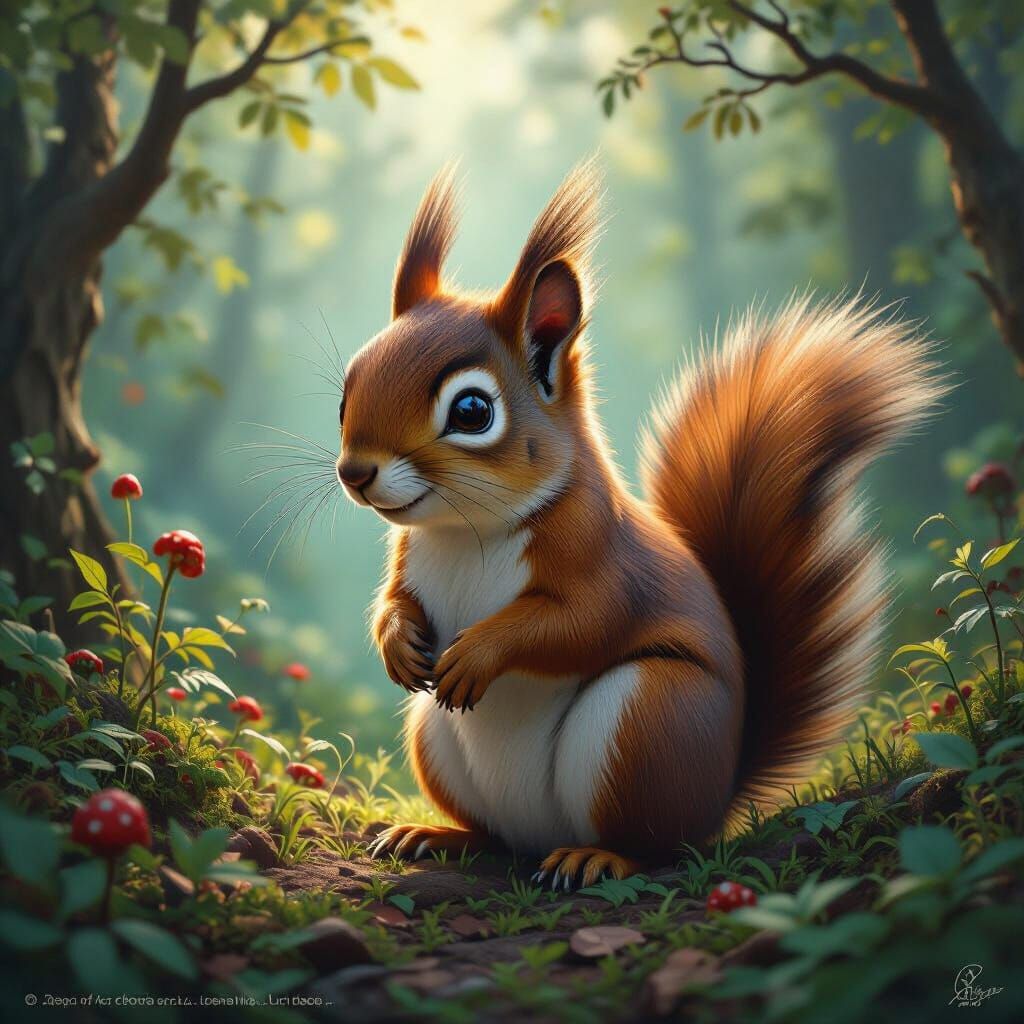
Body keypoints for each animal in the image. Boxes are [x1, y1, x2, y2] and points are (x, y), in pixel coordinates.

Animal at [335, 161, 945, 888]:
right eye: (347, 387)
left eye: (473, 411)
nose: (354, 472)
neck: (464, 530)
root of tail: (717, 799)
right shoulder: (408, 557)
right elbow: (394, 600)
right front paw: (397, 642)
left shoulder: (601, 555)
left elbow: (579, 623)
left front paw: (479, 652)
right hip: (434, 735)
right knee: (493, 837)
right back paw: (436, 835)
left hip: (650, 720)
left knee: (655, 846)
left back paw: (596, 857)